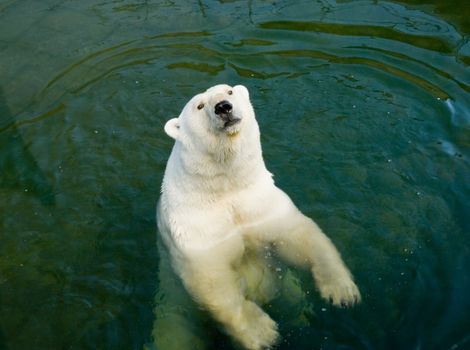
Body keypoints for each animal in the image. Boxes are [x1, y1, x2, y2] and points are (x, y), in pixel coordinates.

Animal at [154, 83, 360, 348]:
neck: (225, 189)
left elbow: (301, 238)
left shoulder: (262, 206)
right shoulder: (197, 235)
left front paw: (341, 290)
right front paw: (262, 333)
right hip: (173, 301)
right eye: (199, 106)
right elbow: (212, 281)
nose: (223, 107)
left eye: (229, 91)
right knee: (176, 333)